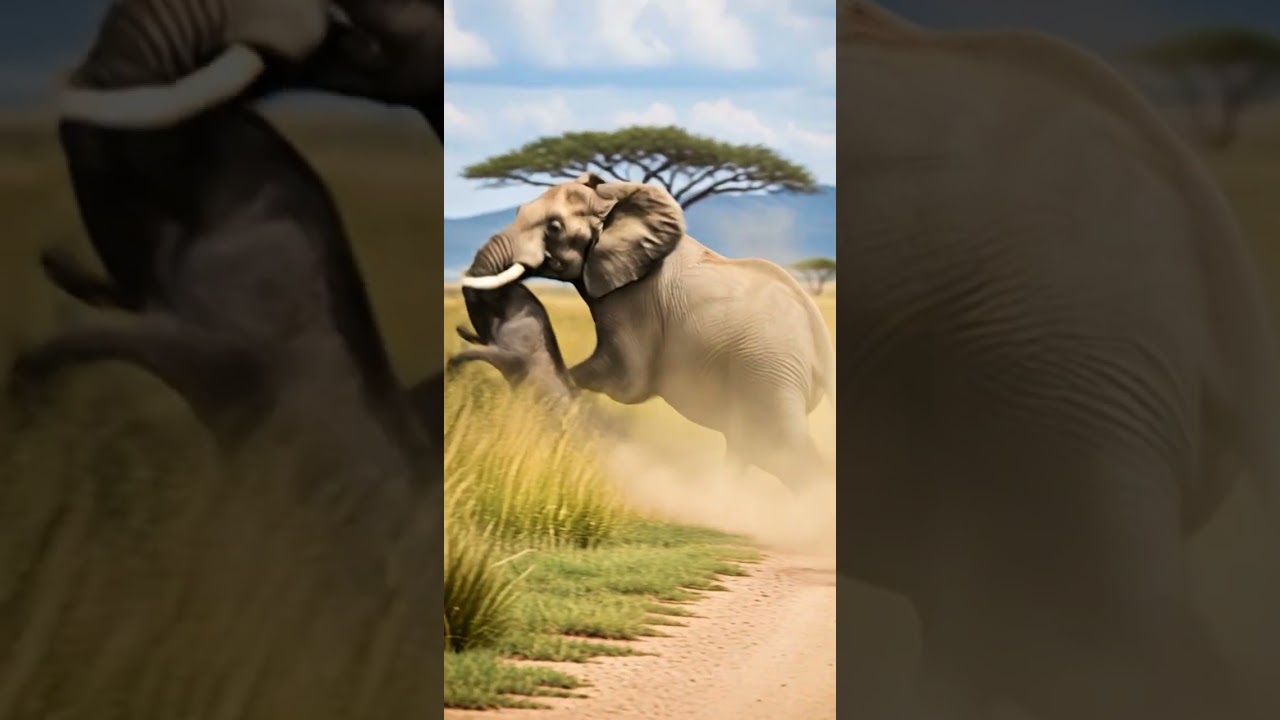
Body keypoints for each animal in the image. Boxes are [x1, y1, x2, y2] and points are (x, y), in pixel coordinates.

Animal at [458, 173, 836, 490]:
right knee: (745, 446)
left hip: (771, 372)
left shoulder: (635, 302)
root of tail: (821, 344)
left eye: (553, 227)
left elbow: (626, 381)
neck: (612, 200)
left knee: (781, 452)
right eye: (518, 210)